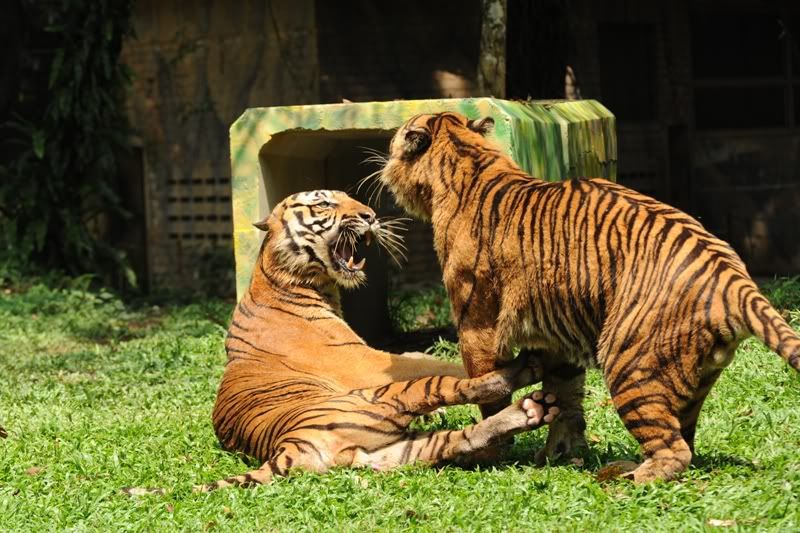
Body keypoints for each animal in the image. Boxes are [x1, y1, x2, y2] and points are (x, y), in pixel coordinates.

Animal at [195, 188, 560, 490]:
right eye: (323, 203)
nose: (370, 216)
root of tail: (290, 447)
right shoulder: (364, 360)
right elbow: (439, 363)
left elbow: (420, 357)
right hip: (384, 397)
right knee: (457, 386)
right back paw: (526, 370)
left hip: (401, 450)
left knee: (462, 437)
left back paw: (529, 411)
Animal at [378, 111, 800, 482]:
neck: (468, 156)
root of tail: (732, 277)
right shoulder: (555, 333)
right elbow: (564, 396)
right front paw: (558, 453)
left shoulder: (476, 325)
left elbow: (487, 389)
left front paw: (489, 453)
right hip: (694, 376)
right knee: (686, 439)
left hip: (630, 362)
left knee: (673, 450)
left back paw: (628, 477)